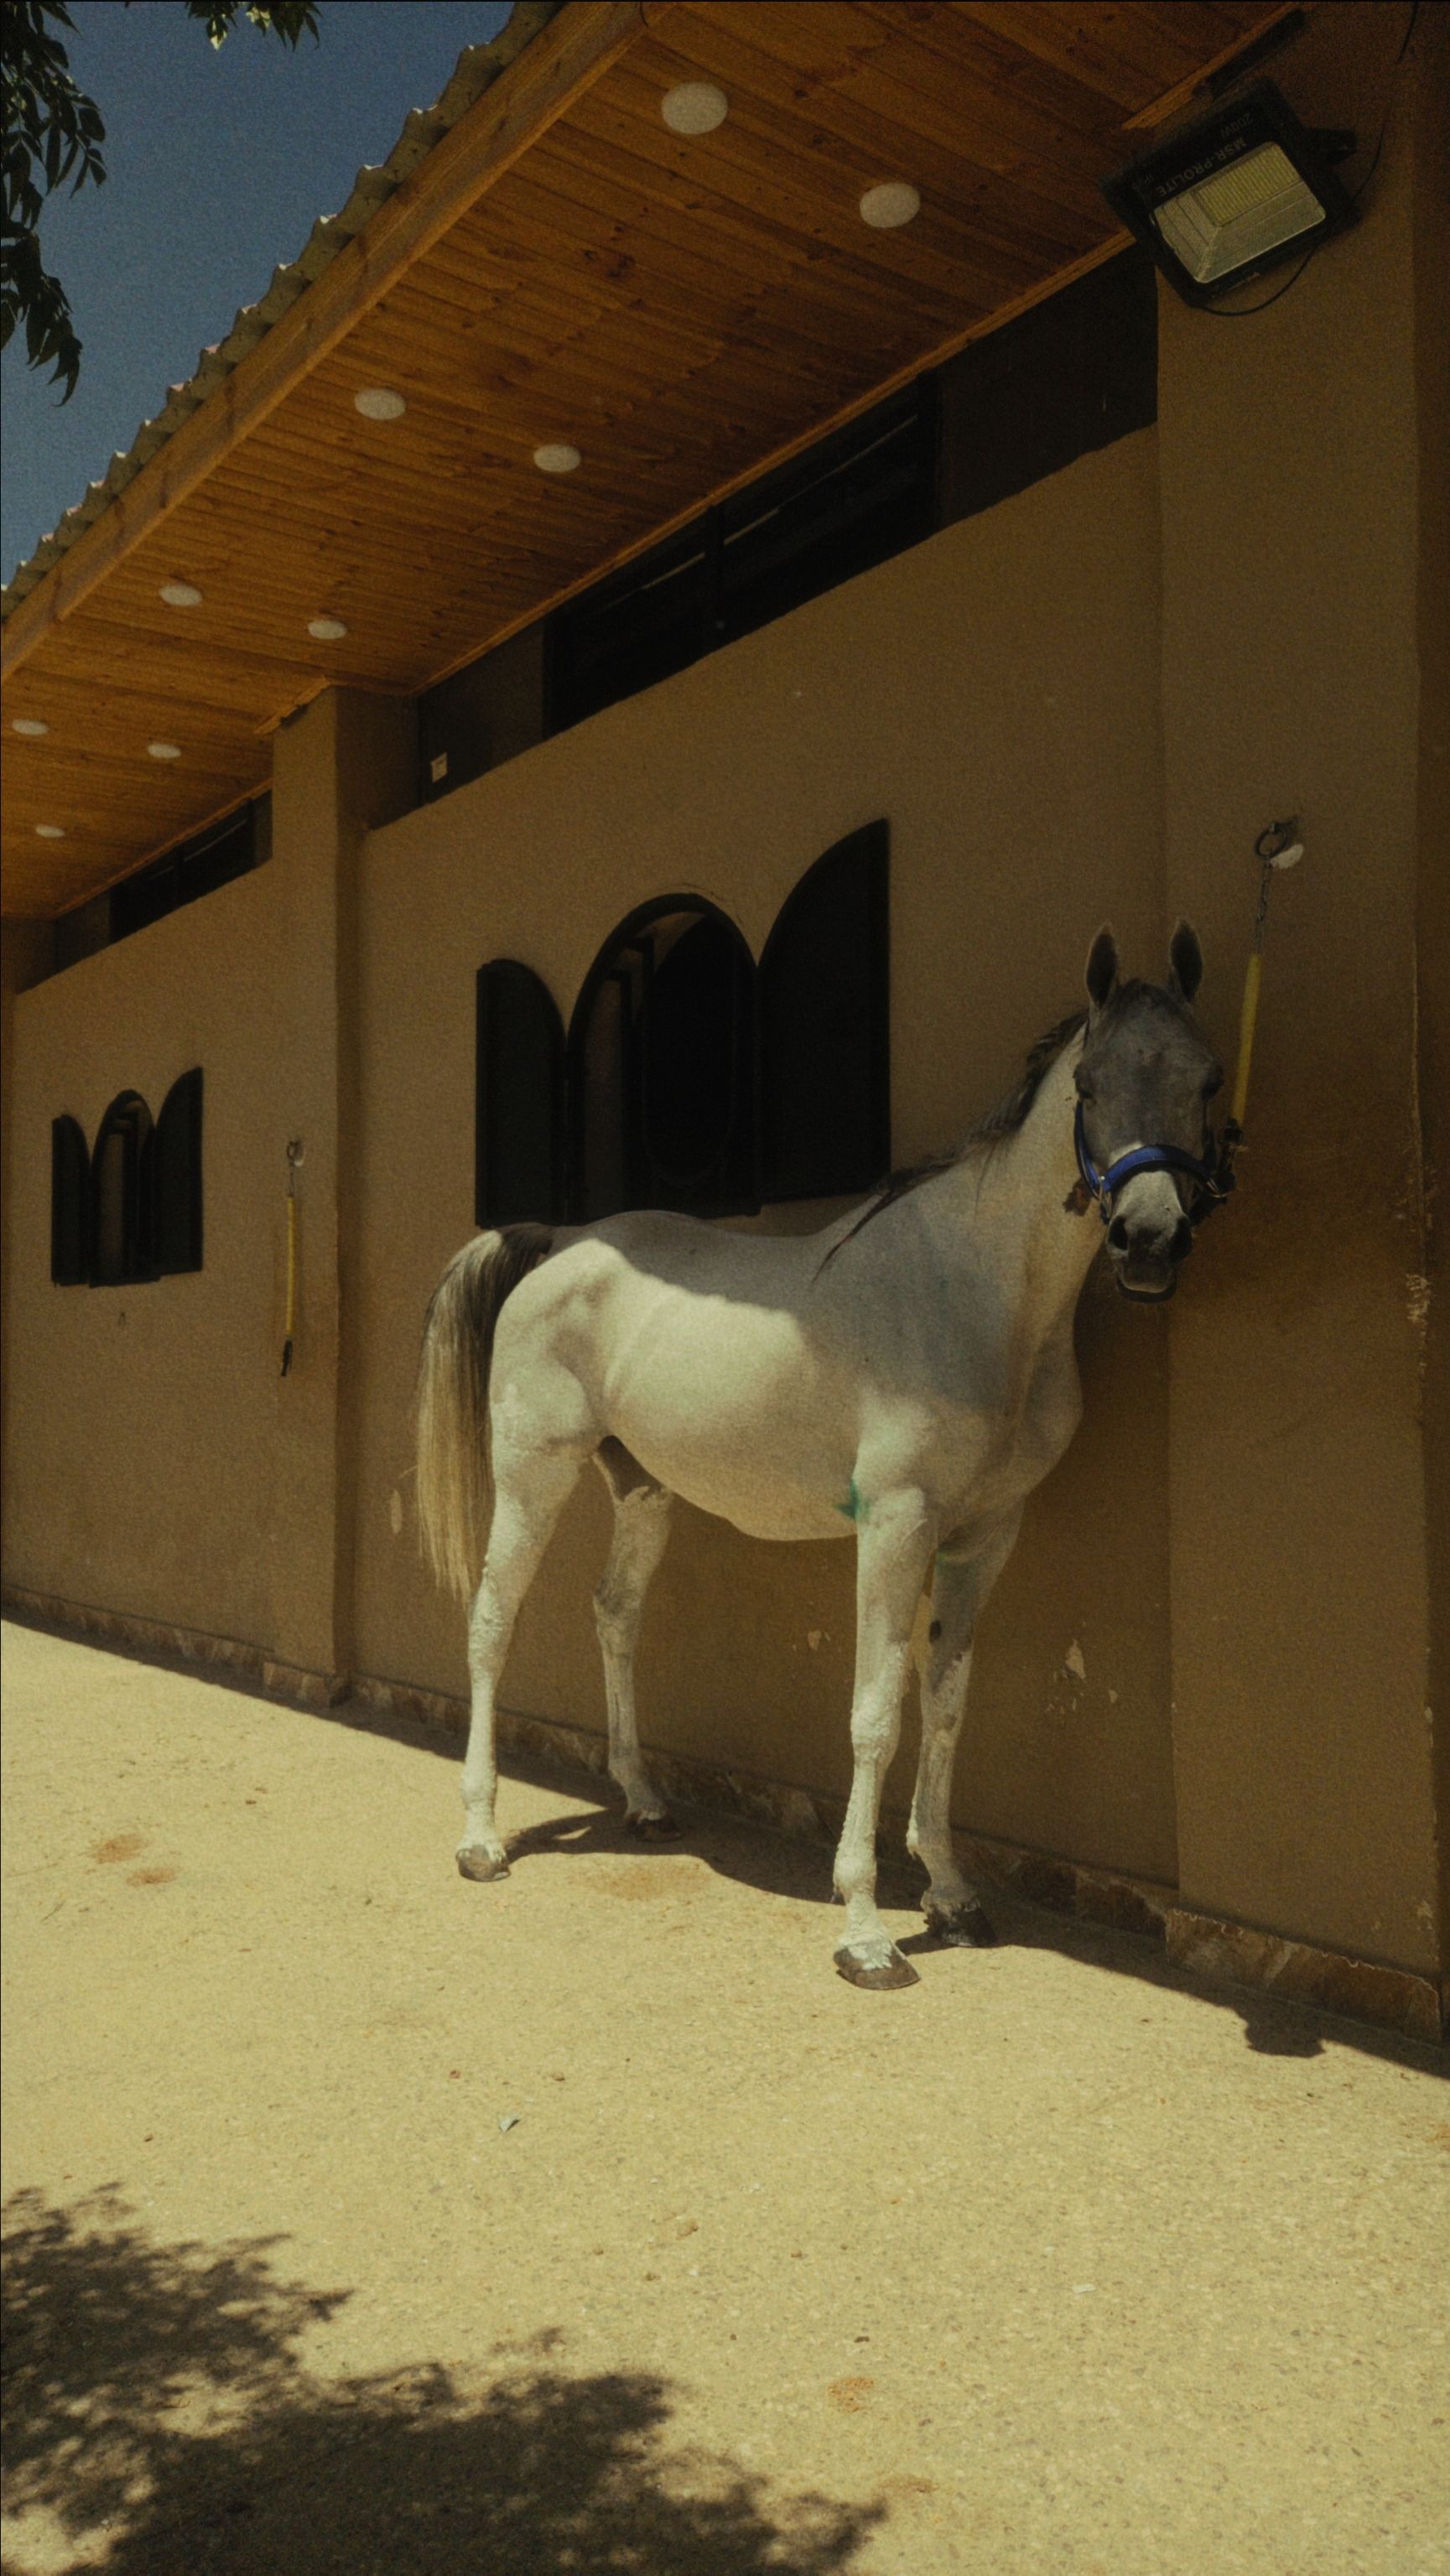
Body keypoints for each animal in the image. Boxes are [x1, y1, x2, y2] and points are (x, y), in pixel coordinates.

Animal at [416, 924, 1224, 1989]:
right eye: (1088, 1084)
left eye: (1207, 1077)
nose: (1148, 1239)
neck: (973, 1298)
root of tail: (562, 1243)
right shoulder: (895, 1524)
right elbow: (874, 1713)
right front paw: (866, 1931)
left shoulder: (985, 1536)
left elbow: (947, 1703)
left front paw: (952, 1896)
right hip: (532, 1476)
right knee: (490, 1624)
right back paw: (480, 1839)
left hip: (643, 1490)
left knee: (615, 1615)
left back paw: (643, 1802)